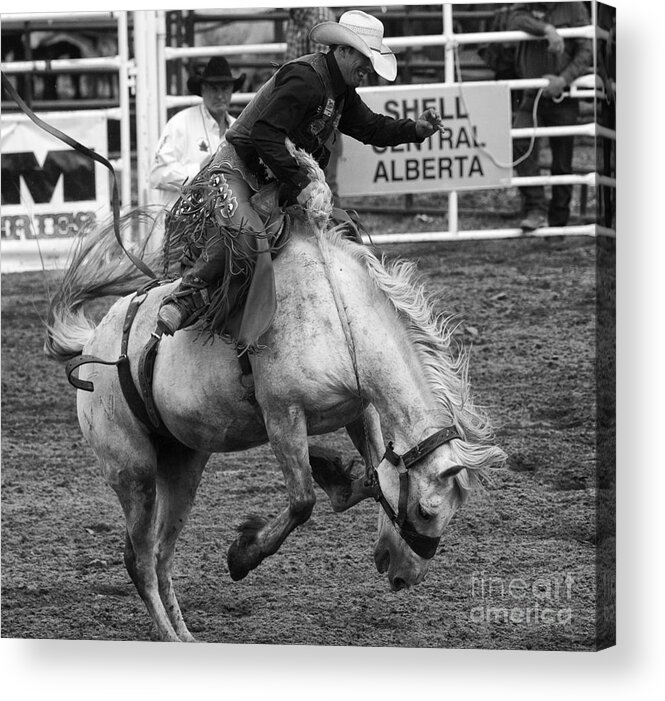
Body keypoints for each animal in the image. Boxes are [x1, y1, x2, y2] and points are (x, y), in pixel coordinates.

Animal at [45, 159, 504, 640]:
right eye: (426, 510)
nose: (404, 576)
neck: (337, 317)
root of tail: (93, 342)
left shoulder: (358, 408)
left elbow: (372, 475)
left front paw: (335, 471)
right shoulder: (282, 415)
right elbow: (303, 501)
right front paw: (242, 554)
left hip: (183, 464)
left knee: (161, 554)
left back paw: (185, 635)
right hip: (133, 471)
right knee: (139, 559)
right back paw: (170, 635)